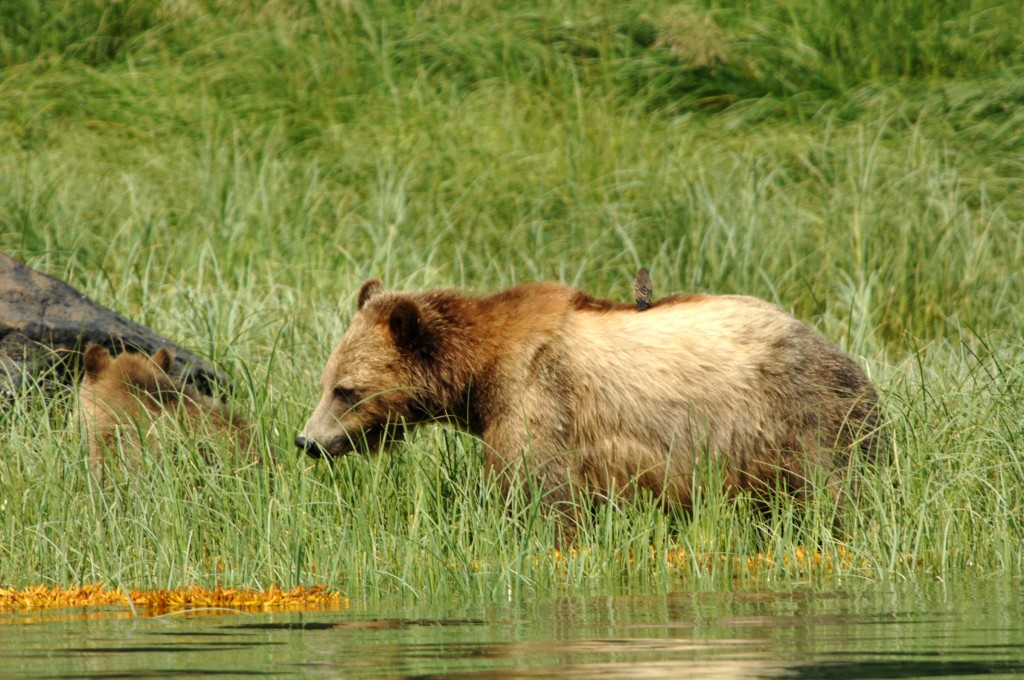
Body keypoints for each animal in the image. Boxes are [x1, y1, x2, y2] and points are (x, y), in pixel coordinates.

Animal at [299, 278, 888, 522]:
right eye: (325, 381)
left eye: (346, 390)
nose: (308, 440)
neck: (480, 376)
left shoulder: (538, 400)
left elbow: (539, 494)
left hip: (799, 417)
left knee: (835, 489)